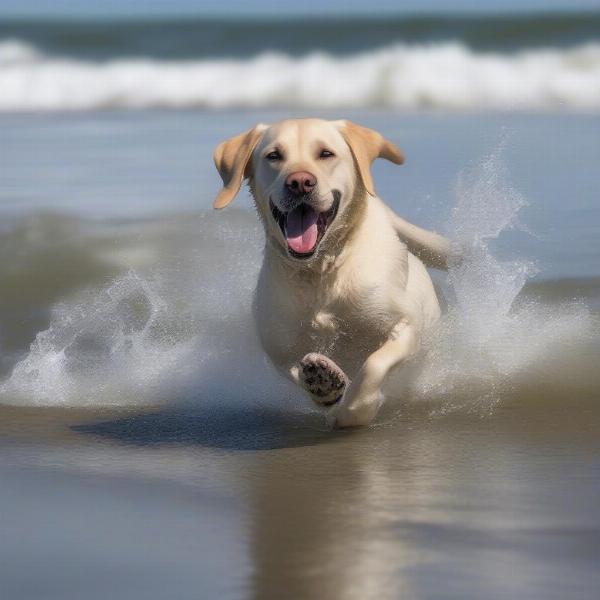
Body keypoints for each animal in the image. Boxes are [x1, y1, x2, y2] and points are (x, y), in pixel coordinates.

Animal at [213, 118, 452, 426]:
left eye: (325, 154)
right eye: (274, 155)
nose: (300, 182)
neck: (321, 271)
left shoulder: (406, 326)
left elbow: (374, 364)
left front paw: (356, 408)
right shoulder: (279, 350)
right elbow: (294, 370)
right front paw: (324, 383)